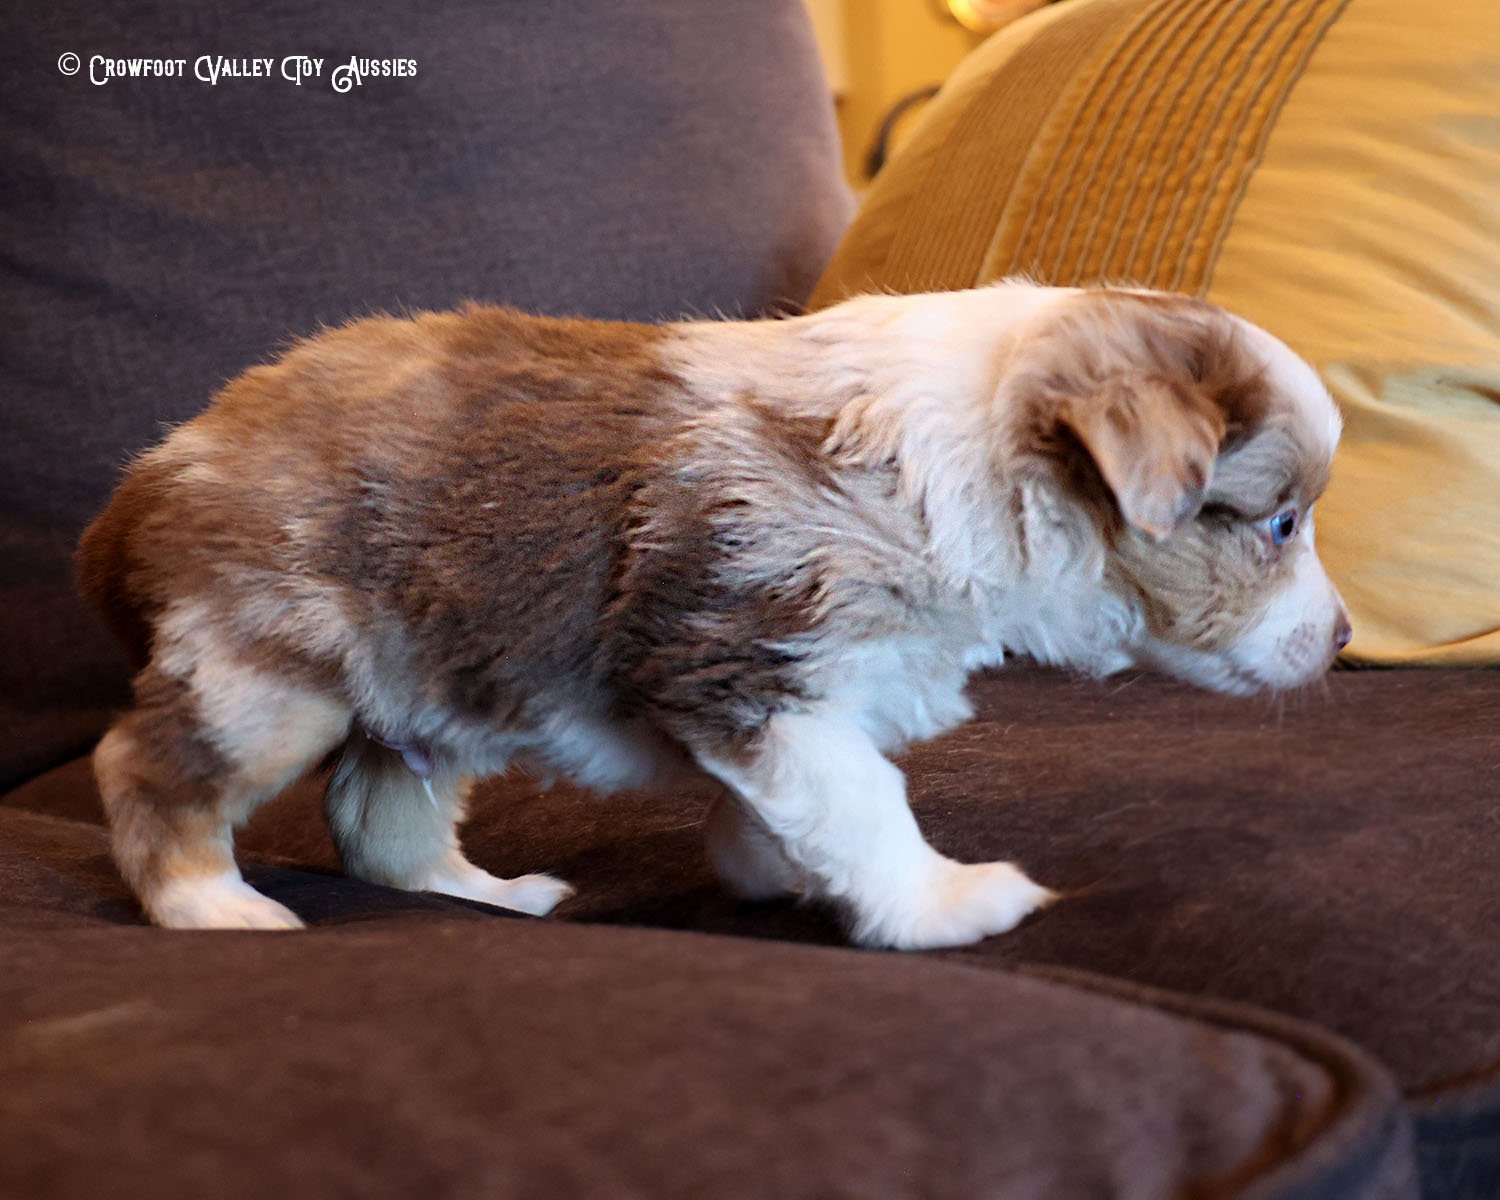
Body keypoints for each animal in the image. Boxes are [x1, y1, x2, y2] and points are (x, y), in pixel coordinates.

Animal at [79, 279, 1350, 948]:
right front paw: (945, 903)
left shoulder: (786, 700)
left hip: (426, 690)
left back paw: (488, 896)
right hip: (261, 675)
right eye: (1281, 523)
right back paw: (214, 908)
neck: (979, 459)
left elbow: (794, 805)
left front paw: (767, 867)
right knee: (144, 767)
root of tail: (154, 467)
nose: (1342, 641)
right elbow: (867, 801)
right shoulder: (754, 666)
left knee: (380, 820)